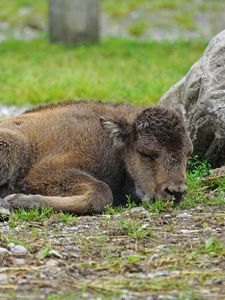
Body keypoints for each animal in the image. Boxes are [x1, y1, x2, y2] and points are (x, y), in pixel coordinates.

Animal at [0, 100, 193, 213]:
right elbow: (102, 192)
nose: (176, 192)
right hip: (14, 146)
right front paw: (15, 200)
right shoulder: (44, 172)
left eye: (188, 153)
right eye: (144, 152)